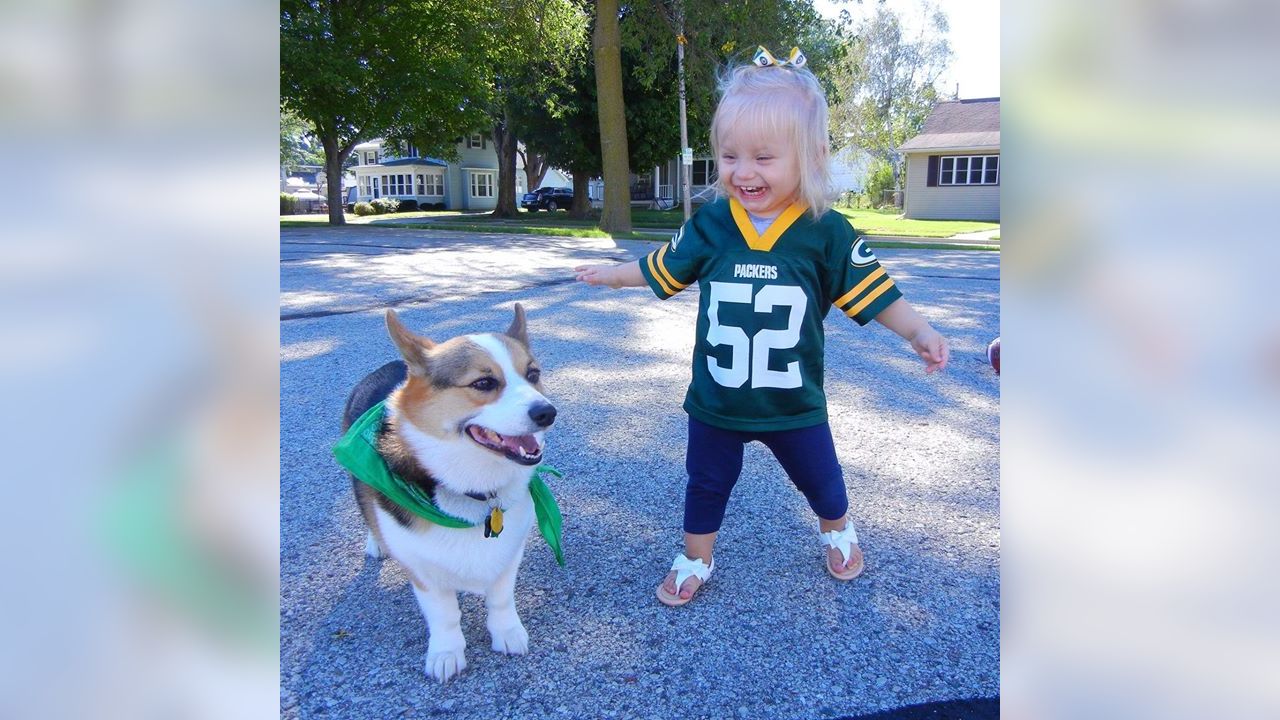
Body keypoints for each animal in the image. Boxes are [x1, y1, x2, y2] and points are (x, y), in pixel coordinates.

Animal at [340, 303, 555, 681]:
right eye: (484, 383)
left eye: (532, 374)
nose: (548, 413)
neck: (474, 489)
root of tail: (390, 365)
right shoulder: (423, 573)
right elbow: (445, 616)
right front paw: (446, 654)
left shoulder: (509, 554)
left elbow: (501, 599)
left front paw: (507, 633)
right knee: (367, 509)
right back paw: (376, 543)